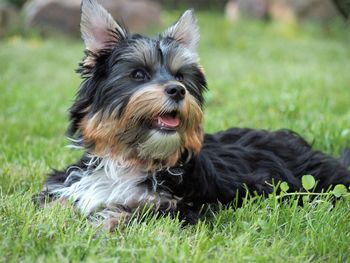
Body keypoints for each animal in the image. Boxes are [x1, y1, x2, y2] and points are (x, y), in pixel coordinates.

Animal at [35, 0, 350, 231]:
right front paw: (50, 220)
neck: (132, 158)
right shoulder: (73, 181)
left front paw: (98, 225)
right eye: (138, 75)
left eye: (180, 77)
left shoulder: (183, 205)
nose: (177, 90)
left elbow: (136, 211)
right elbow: (54, 200)